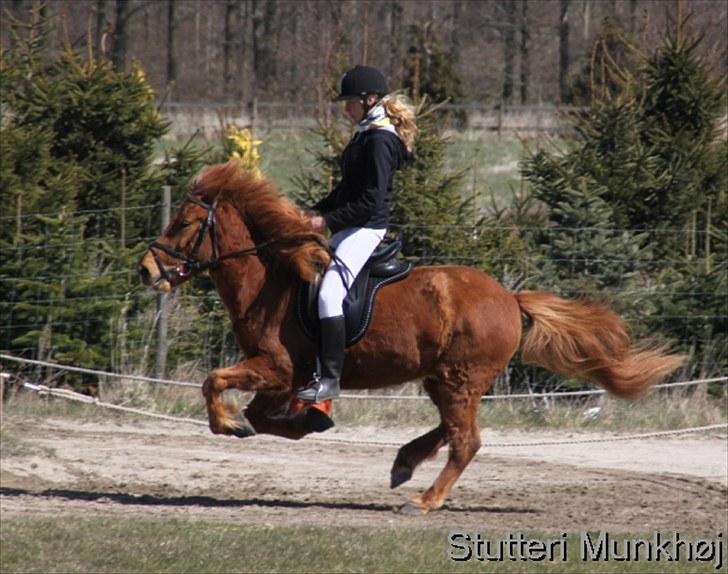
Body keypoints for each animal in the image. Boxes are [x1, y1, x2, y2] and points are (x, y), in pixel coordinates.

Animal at [138, 160, 684, 516]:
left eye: (185, 223)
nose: (146, 270)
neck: (272, 277)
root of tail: (510, 298)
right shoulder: (281, 377)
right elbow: (263, 416)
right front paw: (298, 421)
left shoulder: (278, 367)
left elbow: (213, 382)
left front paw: (230, 424)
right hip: (443, 378)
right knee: (452, 429)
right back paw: (405, 463)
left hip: (460, 378)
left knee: (467, 440)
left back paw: (425, 499)